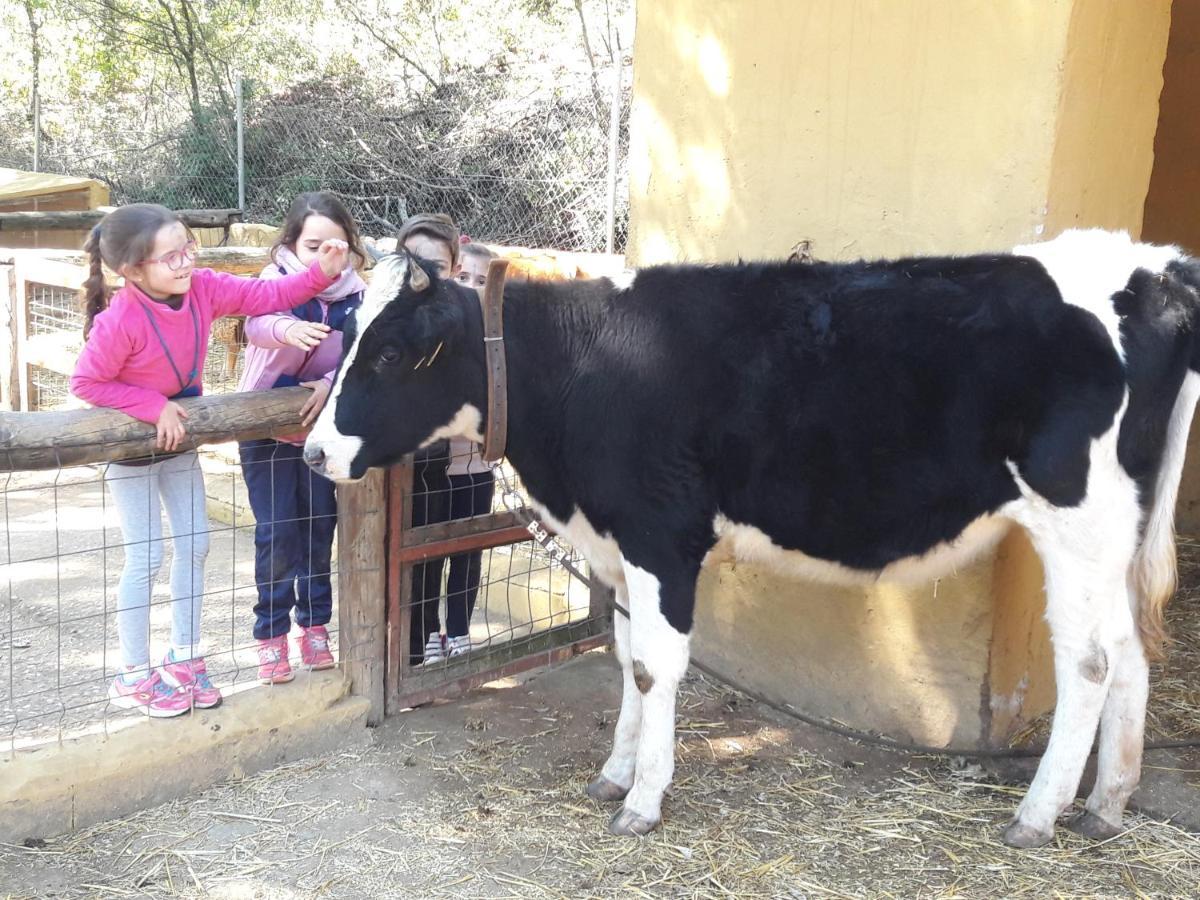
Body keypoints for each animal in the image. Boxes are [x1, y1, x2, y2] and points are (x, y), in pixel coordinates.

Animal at [302, 229, 1200, 849]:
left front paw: (643, 800)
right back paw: (1106, 805)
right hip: (1114, 535)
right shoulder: (615, 540)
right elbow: (626, 658)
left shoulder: (662, 533)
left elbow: (655, 666)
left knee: (1088, 662)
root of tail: (1152, 267)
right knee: (1129, 652)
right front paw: (615, 774)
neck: (580, 366)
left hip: (1075, 520)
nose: (314, 453)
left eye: (389, 353)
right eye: (347, 337)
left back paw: (1038, 815)